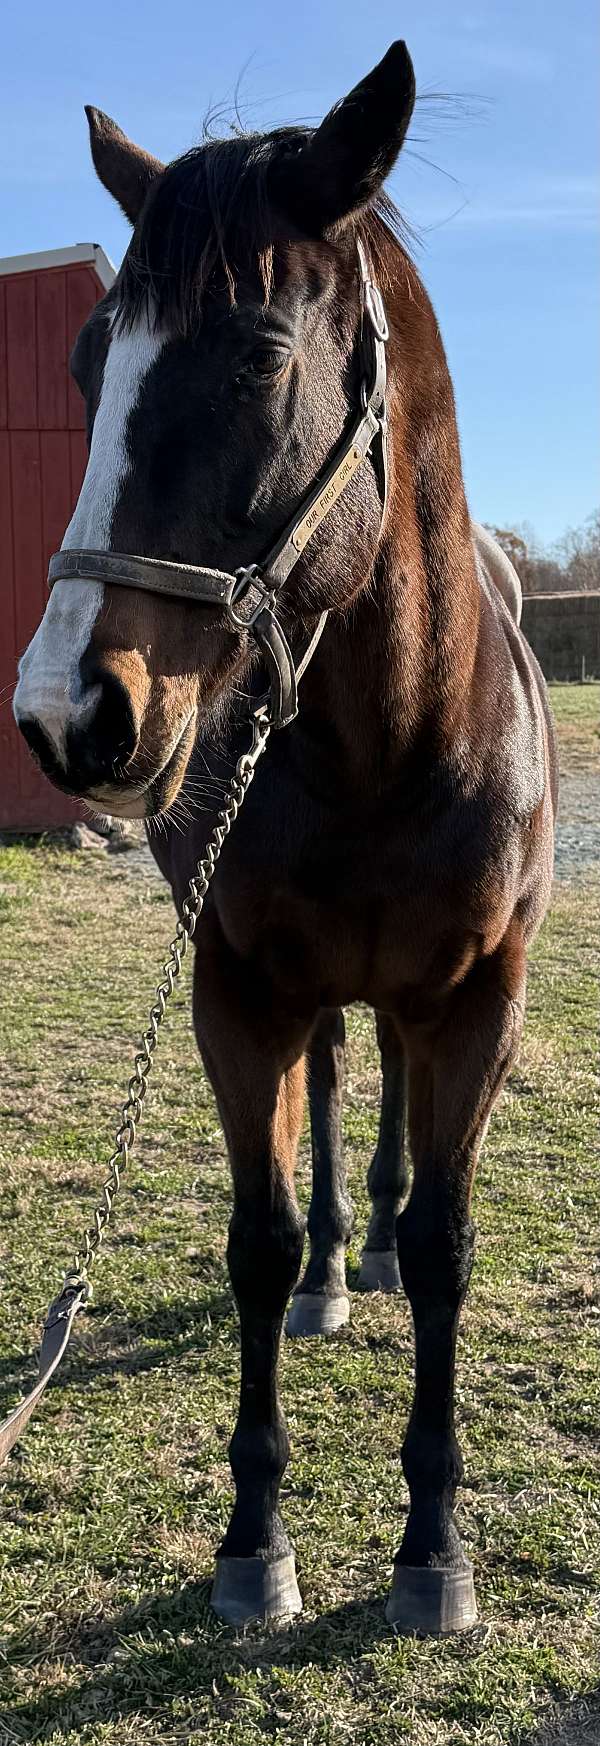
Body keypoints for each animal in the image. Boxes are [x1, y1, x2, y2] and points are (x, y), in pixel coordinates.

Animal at [14, 41, 558, 1634]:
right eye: (90, 364)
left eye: (258, 356)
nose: (67, 714)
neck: (388, 740)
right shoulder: (238, 989)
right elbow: (252, 1239)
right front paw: (255, 1538)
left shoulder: (480, 999)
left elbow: (444, 1245)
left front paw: (433, 1545)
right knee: (326, 1090)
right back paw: (331, 1264)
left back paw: (361, 1244)